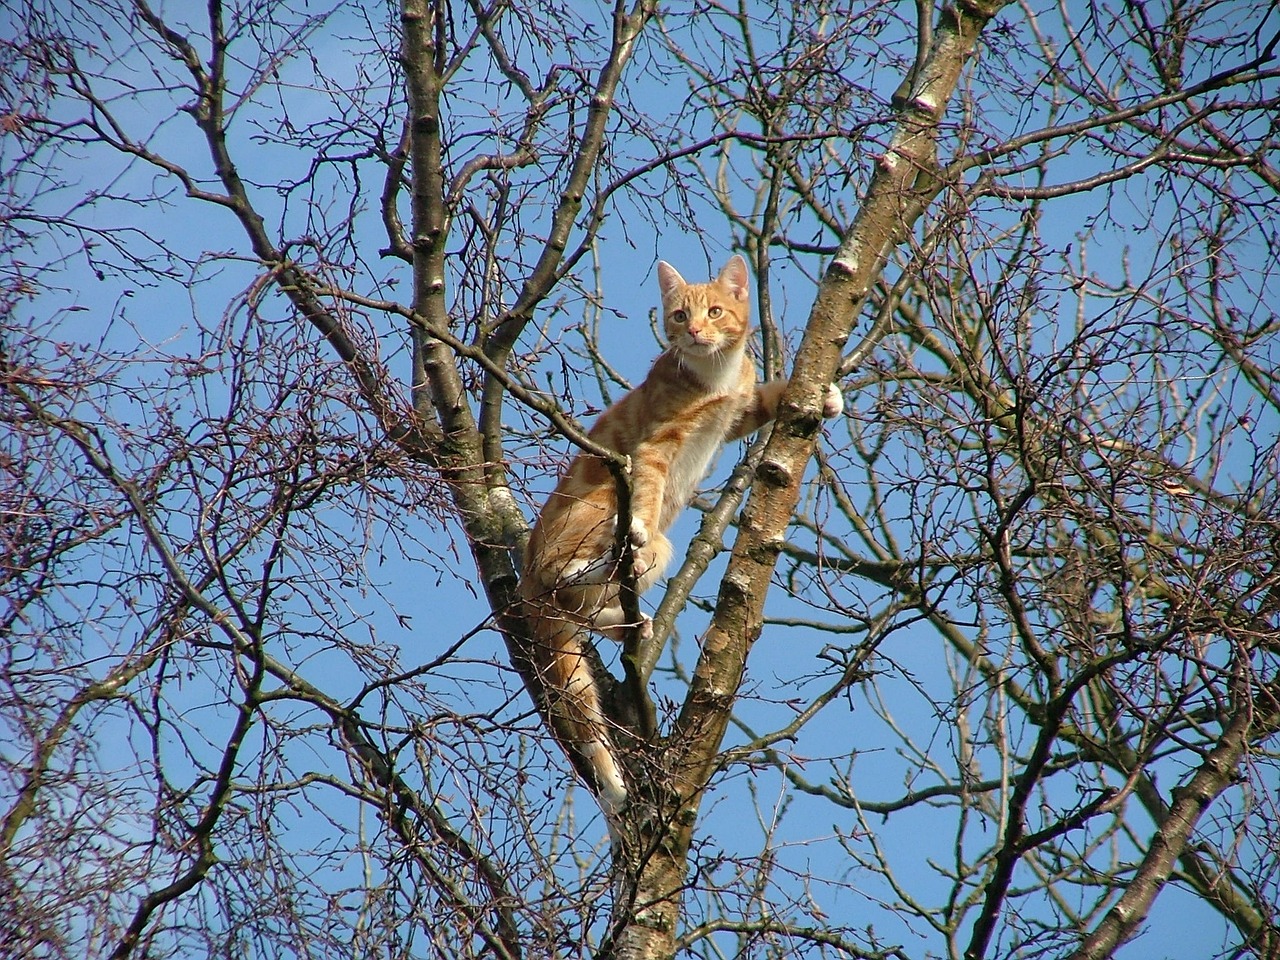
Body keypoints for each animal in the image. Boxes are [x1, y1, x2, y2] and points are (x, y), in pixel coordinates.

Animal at [514, 256, 844, 819]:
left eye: (714, 311)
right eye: (678, 314)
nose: (692, 332)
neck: (714, 376)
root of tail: (527, 577)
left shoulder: (741, 408)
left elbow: (773, 394)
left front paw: (827, 396)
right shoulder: (652, 449)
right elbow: (647, 486)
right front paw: (640, 523)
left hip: (627, 574)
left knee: (582, 606)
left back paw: (630, 621)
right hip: (594, 513)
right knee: (566, 574)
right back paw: (609, 561)